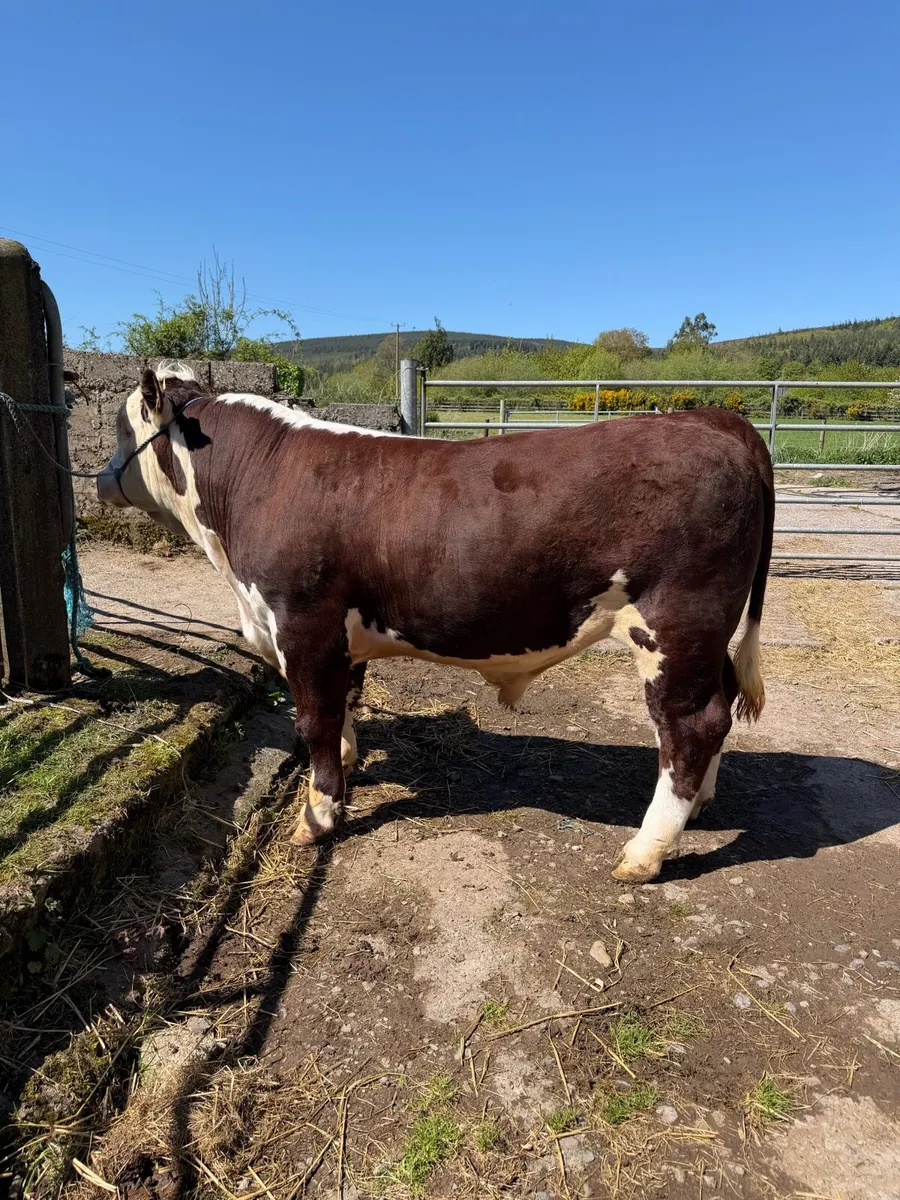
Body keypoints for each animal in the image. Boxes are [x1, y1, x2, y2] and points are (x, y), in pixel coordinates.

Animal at [97, 361, 774, 883]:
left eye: (121, 423)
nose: (102, 478)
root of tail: (712, 420)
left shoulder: (302, 624)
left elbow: (314, 719)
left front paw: (317, 817)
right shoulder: (336, 638)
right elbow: (343, 708)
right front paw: (347, 767)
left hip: (676, 625)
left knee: (691, 726)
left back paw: (644, 852)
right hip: (704, 638)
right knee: (717, 708)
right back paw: (701, 804)